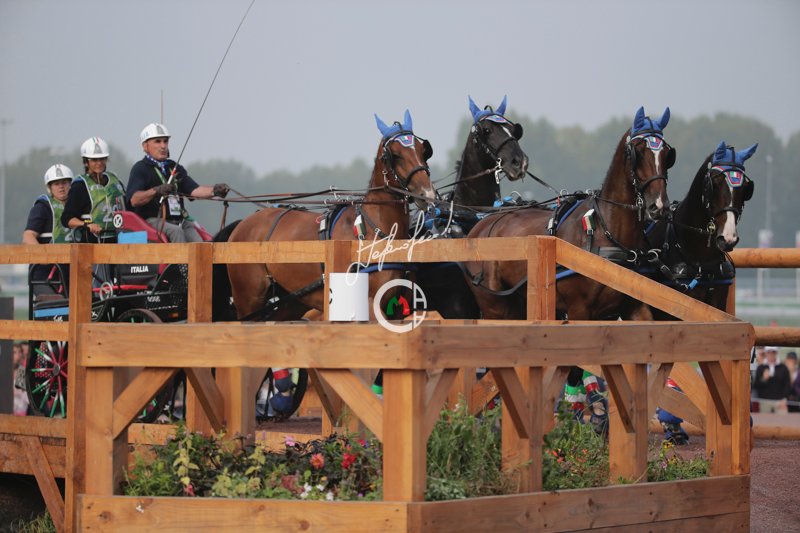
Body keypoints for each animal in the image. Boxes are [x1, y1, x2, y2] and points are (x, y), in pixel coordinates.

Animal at [464, 106, 674, 321]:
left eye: (668, 155)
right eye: (638, 152)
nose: (659, 205)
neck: (607, 231)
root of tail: (482, 224)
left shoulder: (635, 307)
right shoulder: (578, 309)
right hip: (494, 306)